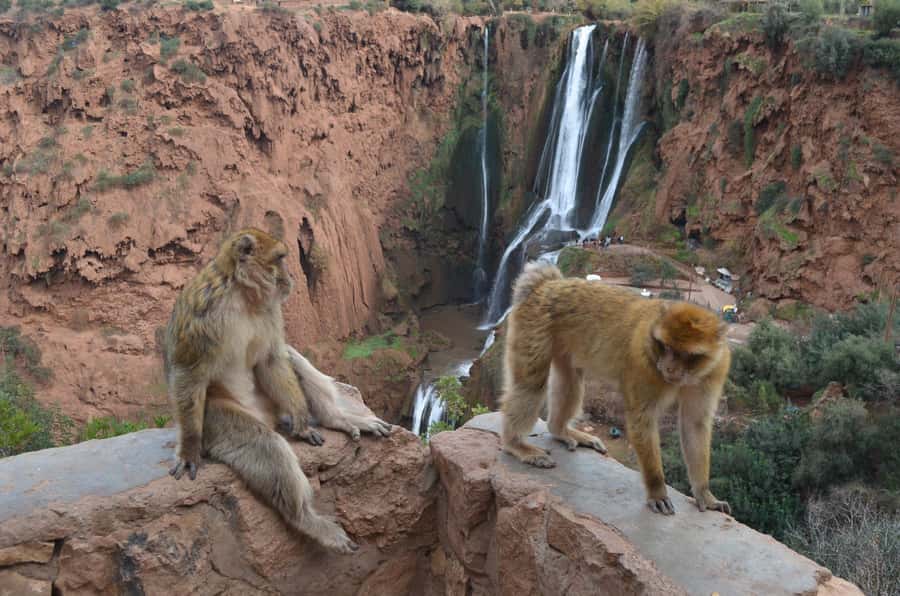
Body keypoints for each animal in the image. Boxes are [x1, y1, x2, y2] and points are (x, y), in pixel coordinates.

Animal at [163, 228, 393, 553]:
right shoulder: (202, 311)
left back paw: (335, 419)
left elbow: (272, 358)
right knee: (266, 444)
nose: (290, 277)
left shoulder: (271, 310)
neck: (241, 295)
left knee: (289, 356)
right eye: (280, 258)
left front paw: (303, 420)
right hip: (219, 419)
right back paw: (305, 518)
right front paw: (189, 450)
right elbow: (188, 372)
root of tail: (268, 417)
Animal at [499, 261, 732, 516]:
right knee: (531, 384)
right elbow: (642, 419)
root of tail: (547, 284)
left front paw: (704, 494)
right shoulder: (643, 362)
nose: (669, 367)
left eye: (687, 354)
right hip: (535, 324)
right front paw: (657, 490)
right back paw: (515, 444)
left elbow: (694, 423)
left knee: (570, 380)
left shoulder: (715, 369)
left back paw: (560, 430)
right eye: (667, 347)